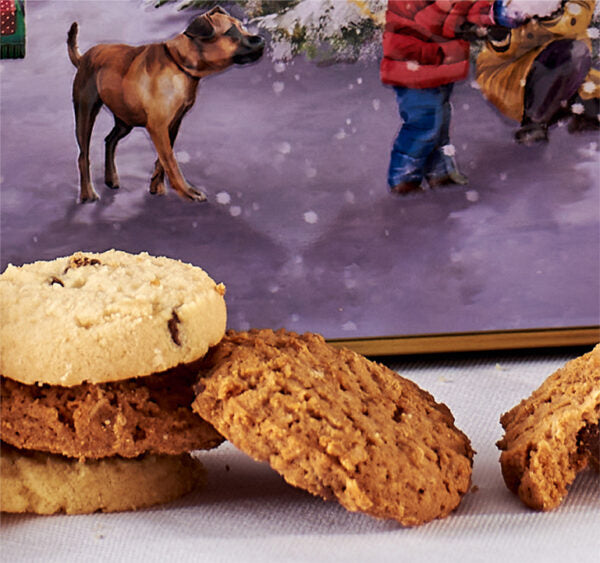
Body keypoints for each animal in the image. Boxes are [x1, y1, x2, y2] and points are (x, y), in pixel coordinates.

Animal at [67, 6, 264, 203]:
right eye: (231, 32)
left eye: (242, 27)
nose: (261, 39)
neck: (179, 63)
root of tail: (83, 57)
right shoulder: (158, 126)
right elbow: (170, 160)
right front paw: (188, 191)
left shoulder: (173, 123)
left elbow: (161, 160)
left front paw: (157, 186)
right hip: (85, 113)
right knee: (83, 156)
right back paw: (88, 194)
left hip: (125, 120)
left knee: (110, 141)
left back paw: (112, 179)